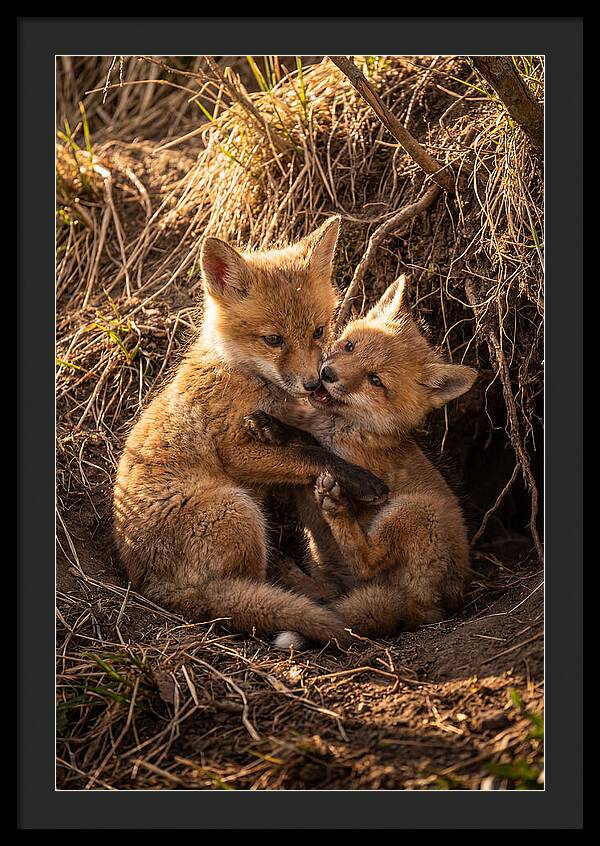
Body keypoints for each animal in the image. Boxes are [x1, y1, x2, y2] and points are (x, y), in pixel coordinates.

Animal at [113, 217, 389, 647]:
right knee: (251, 588)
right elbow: (312, 453)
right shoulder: (236, 451)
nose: (313, 384)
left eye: (318, 331)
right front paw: (361, 480)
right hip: (237, 508)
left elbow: (305, 441)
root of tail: (154, 589)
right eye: (273, 340)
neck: (242, 374)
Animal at [244, 274, 478, 649]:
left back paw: (336, 509)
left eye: (375, 380)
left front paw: (279, 431)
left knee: (368, 561)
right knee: (330, 593)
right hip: (330, 564)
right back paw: (290, 573)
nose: (327, 373)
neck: (343, 427)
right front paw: (272, 425)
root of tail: (435, 608)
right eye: (350, 346)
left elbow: (312, 445)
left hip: (414, 511)